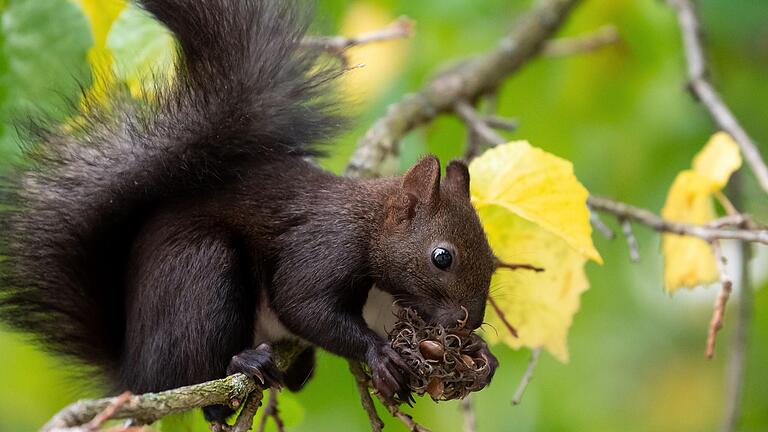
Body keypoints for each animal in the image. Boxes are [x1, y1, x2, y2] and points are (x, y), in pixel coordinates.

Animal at [0, 0, 498, 422]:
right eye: (442, 257)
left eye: (494, 259)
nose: (467, 322)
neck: (371, 225)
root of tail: (134, 371)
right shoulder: (323, 246)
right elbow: (303, 304)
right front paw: (378, 354)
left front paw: (481, 354)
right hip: (200, 271)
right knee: (196, 376)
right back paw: (241, 362)